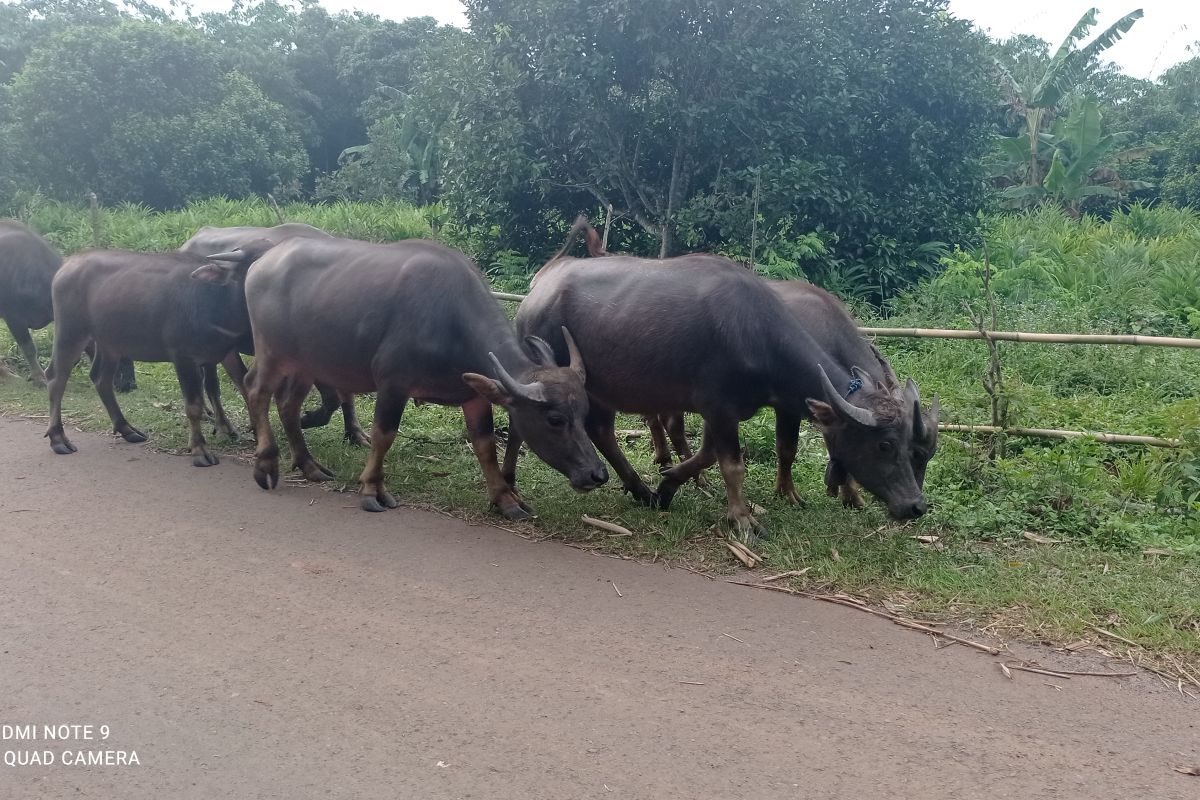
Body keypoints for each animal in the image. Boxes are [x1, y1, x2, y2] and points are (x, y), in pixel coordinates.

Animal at [45, 245, 271, 470]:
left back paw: (127, 429)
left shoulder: (225, 352)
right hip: (70, 332)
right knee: (56, 378)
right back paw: (58, 439)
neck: (215, 299)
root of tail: (66, 266)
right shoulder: (183, 358)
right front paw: (199, 449)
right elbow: (194, 406)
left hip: (109, 343)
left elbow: (241, 387)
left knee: (101, 379)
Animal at [240, 235, 609, 515]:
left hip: (305, 363)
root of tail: (262, 263)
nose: (597, 474)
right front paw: (371, 489)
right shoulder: (393, 385)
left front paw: (505, 498)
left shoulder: (474, 396)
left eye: (584, 414)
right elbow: (384, 435)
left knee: (288, 405)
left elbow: (485, 446)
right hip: (272, 353)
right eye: (555, 419)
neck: (449, 322)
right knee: (256, 389)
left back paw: (309, 465)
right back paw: (266, 464)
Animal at [511, 239, 931, 537]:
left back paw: (641, 489)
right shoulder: (719, 406)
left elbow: (708, 455)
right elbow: (732, 465)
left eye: (914, 446)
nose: (916, 506)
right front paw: (742, 518)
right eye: (885, 445)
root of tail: (537, 292)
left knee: (602, 431)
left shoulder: (723, 412)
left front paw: (668, 485)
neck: (756, 335)